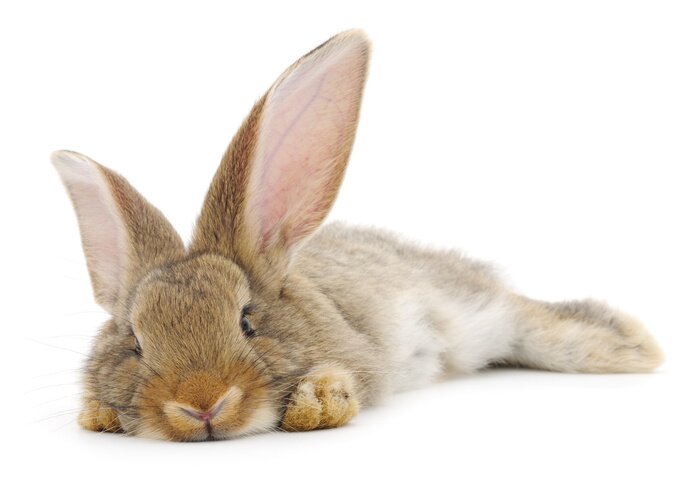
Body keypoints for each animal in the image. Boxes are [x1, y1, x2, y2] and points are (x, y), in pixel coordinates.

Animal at [52, 29, 663, 441]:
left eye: (248, 321)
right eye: (135, 342)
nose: (201, 404)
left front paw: (317, 404)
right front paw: (98, 415)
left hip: (478, 313)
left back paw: (633, 347)